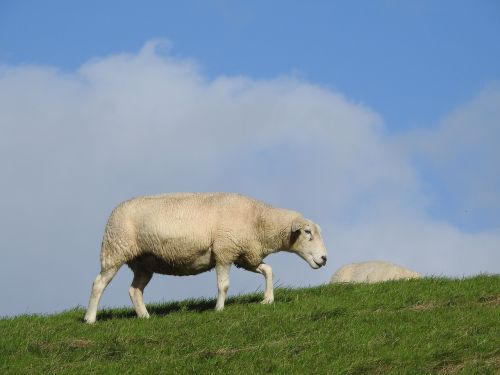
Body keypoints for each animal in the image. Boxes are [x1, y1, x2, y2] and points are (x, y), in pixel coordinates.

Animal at [85, 194, 328, 324]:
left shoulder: (244, 255)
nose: (325, 258)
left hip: (144, 263)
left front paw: (267, 299)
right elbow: (224, 285)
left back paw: (145, 316)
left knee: (135, 290)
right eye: (308, 233)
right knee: (98, 284)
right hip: (115, 250)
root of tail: (114, 211)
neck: (258, 221)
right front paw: (219, 308)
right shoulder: (224, 251)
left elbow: (268, 270)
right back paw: (90, 319)